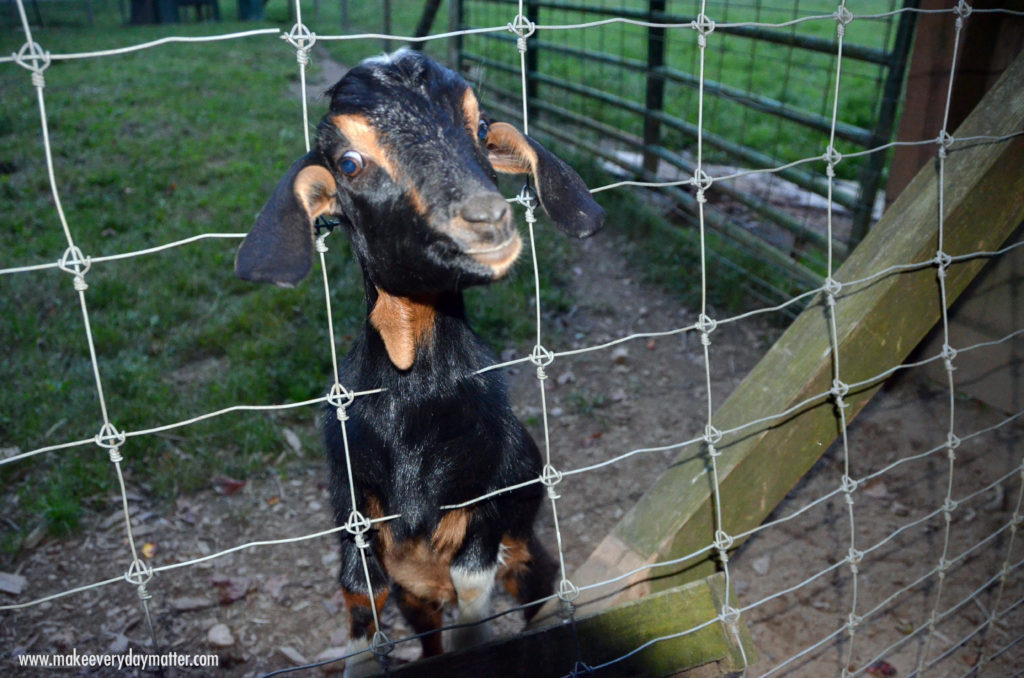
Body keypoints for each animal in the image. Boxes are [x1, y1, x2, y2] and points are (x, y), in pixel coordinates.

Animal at [235, 49, 603, 675]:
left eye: (480, 128)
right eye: (350, 162)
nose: (487, 219)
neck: (414, 398)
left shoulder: (487, 507)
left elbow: (474, 589)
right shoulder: (353, 510)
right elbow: (360, 596)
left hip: (527, 555)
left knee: (538, 593)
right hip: (420, 598)